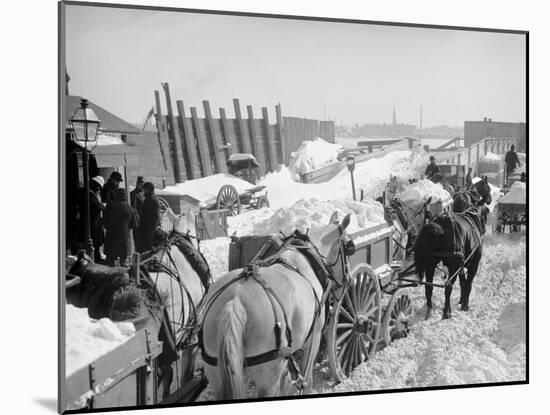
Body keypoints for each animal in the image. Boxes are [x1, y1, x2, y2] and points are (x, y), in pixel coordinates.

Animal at [199, 214, 354, 400]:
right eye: (349, 247)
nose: (349, 279)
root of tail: (234, 301)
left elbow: (285, 381)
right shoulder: (313, 338)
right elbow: (307, 380)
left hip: (216, 373)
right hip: (268, 375)